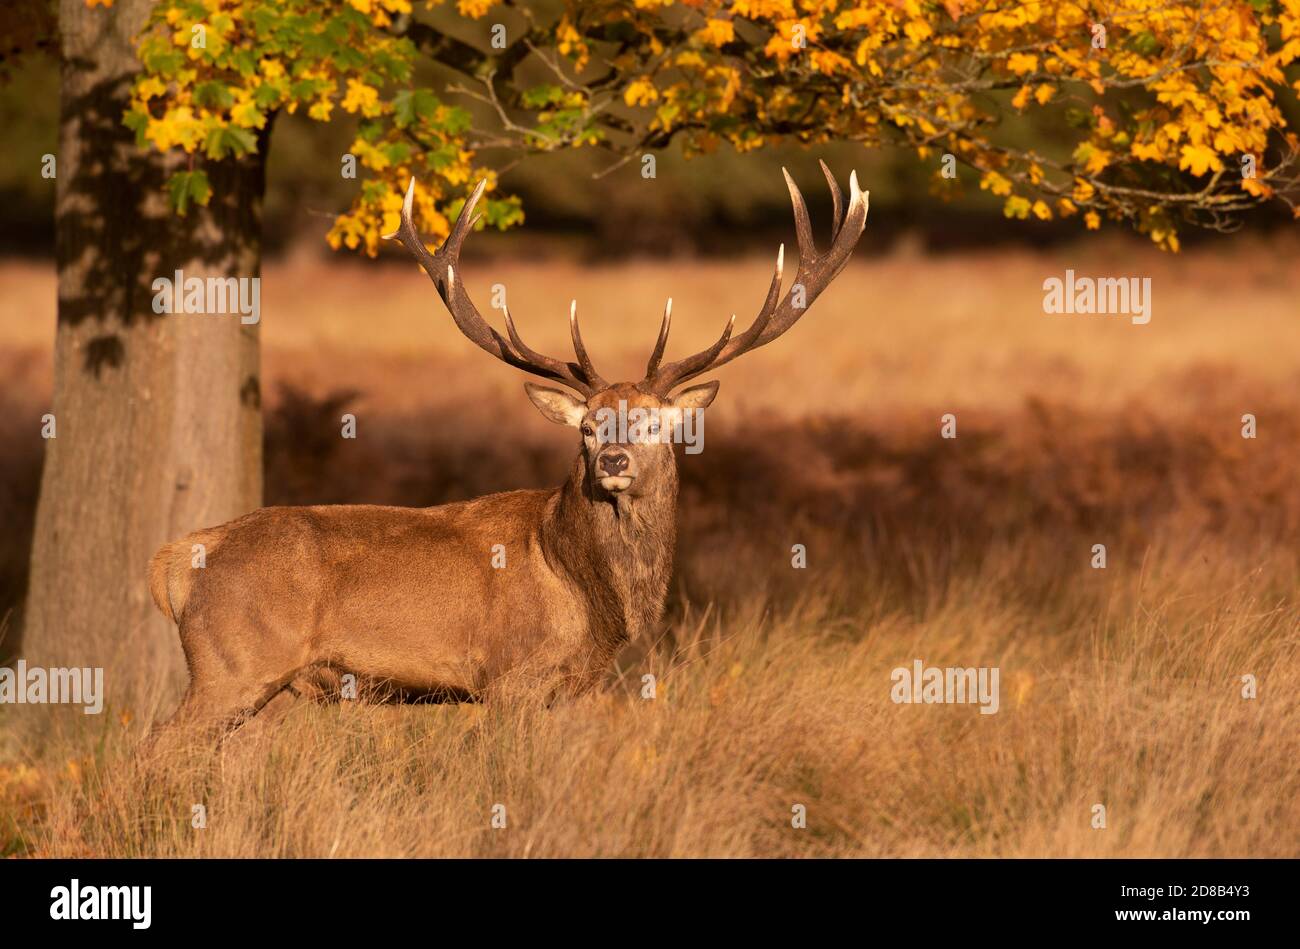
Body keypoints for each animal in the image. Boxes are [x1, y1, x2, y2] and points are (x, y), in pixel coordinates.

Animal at [146, 162, 868, 741]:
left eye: (654, 424)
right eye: (588, 427)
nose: (612, 462)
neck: (588, 595)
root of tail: (177, 558)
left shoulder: (565, 690)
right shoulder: (508, 676)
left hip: (263, 685)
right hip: (231, 664)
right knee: (157, 746)